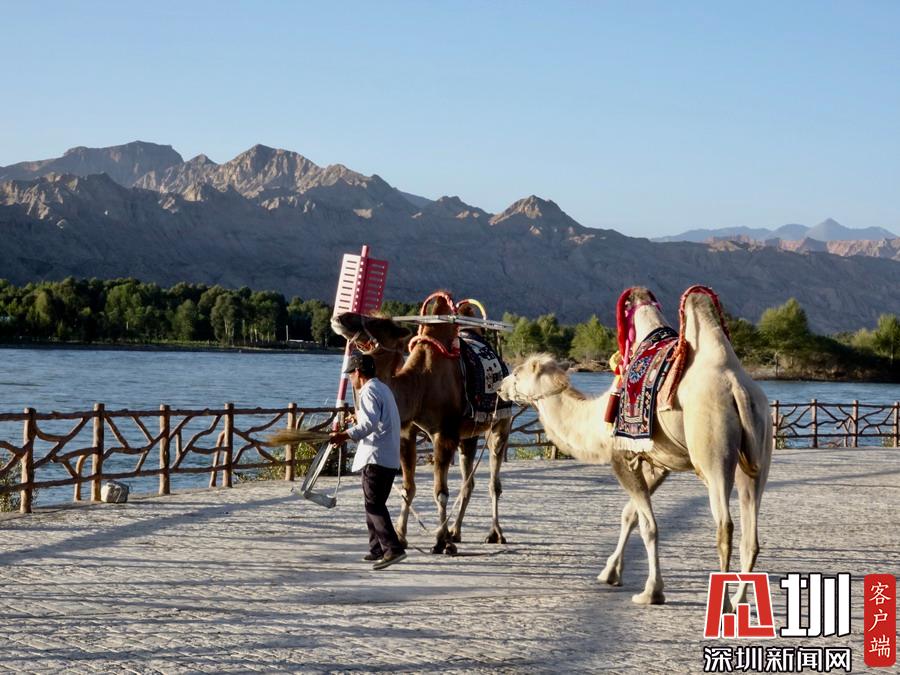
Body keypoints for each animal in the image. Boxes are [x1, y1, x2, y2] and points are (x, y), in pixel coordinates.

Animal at [331, 293, 512, 554]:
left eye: (378, 323)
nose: (341, 316)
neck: (420, 385)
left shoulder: (443, 435)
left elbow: (441, 493)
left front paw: (441, 541)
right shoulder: (407, 433)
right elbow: (408, 488)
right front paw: (402, 535)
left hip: (500, 425)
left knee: (493, 482)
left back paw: (495, 533)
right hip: (468, 435)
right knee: (468, 482)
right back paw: (456, 532)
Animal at [498, 287, 772, 606]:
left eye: (518, 373)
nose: (500, 386)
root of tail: (737, 387)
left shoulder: (621, 456)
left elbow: (648, 527)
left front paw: (651, 591)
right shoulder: (656, 461)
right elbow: (629, 515)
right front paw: (609, 573)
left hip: (714, 451)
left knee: (724, 526)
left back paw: (724, 601)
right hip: (757, 451)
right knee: (751, 534)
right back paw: (742, 598)